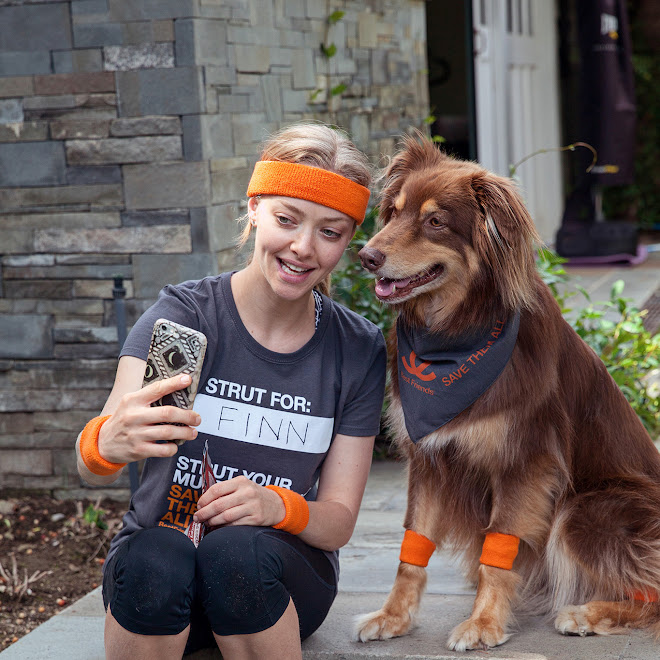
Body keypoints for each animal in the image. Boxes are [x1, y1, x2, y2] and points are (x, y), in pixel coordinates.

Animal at [356, 134, 660, 648]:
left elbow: (497, 552)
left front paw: (483, 624)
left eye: (435, 221)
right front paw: (393, 616)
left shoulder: (525, 459)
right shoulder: (429, 456)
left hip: (586, 508)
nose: (365, 257)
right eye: (393, 213)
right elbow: (412, 546)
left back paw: (586, 612)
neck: (455, 331)